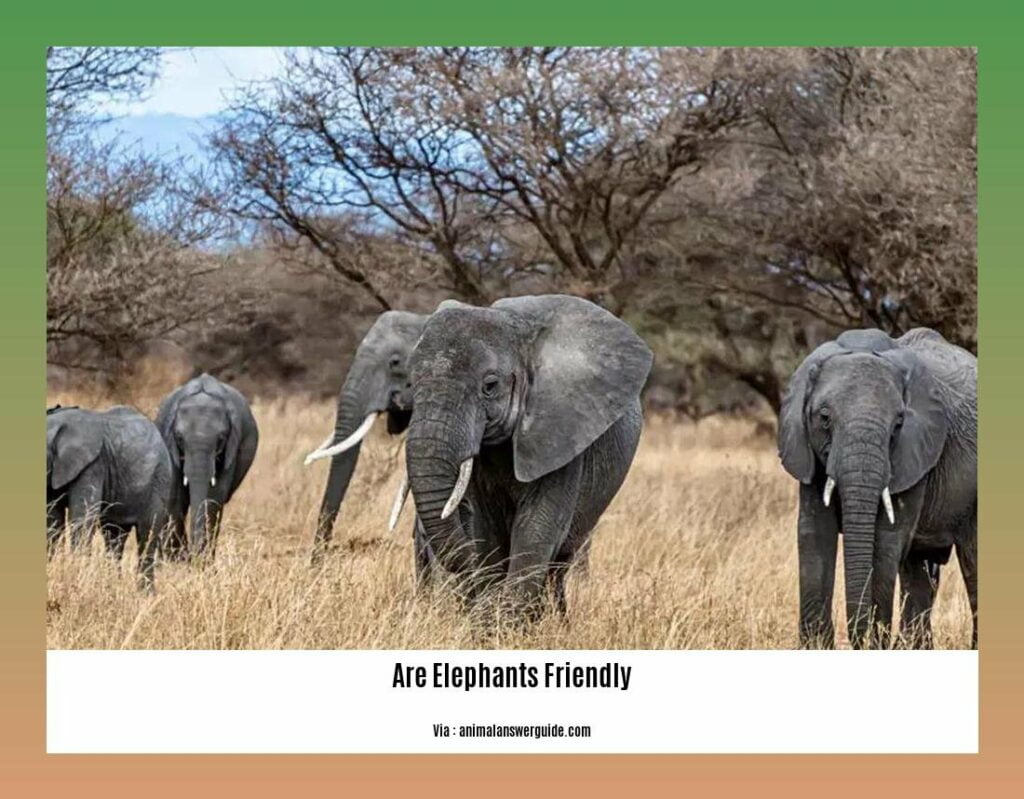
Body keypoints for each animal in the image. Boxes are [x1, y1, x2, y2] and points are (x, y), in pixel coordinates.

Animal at [46, 404, 171, 590]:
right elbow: (53, 522)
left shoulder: (93, 466)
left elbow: (83, 520)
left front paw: (78, 579)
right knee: (114, 537)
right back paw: (113, 586)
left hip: (159, 480)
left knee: (147, 536)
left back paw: (145, 593)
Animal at [156, 374, 259, 562]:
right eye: (179, 437)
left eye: (221, 438)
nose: (191, 557)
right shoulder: (168, 442)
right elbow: (176, 494)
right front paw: (178, 560)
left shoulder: (232, 448)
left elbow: (214, 495)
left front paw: (201, 562)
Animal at [402, 294, 653, 617]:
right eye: (410, 382)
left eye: (490, 386)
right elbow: (486, 528)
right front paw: (487, 622)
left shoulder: (562, 433)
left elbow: (536, 527)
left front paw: (509, 624)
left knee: (558, 564)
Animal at [778, 328, 977, 649]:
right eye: (824, 418)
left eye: (898, 424)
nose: (861, 638)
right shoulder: (807, 452)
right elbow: (814, 533)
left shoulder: (914, 452)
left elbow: (886, 540)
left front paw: (874, 642)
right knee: (918, 571)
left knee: (972, 560)